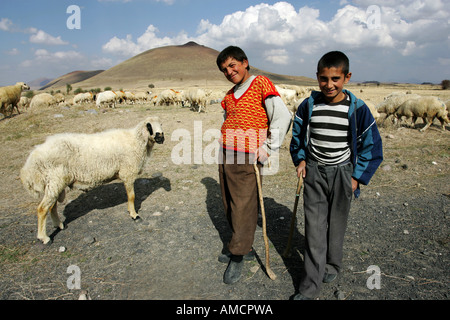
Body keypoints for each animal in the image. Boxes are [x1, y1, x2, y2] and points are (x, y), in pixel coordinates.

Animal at [20, 116, 165, 244]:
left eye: (161, 124)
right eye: (149, 126)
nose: (161, 137)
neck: (136, 141)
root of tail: (31, 162)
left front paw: (130, 211)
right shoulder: (127, 172)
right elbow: (132, 196)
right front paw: (134, 215)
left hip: (54, 183)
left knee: (52, 206)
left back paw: (59, 225)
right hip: (55, 179)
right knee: (42, 209)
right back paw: (44, 238)